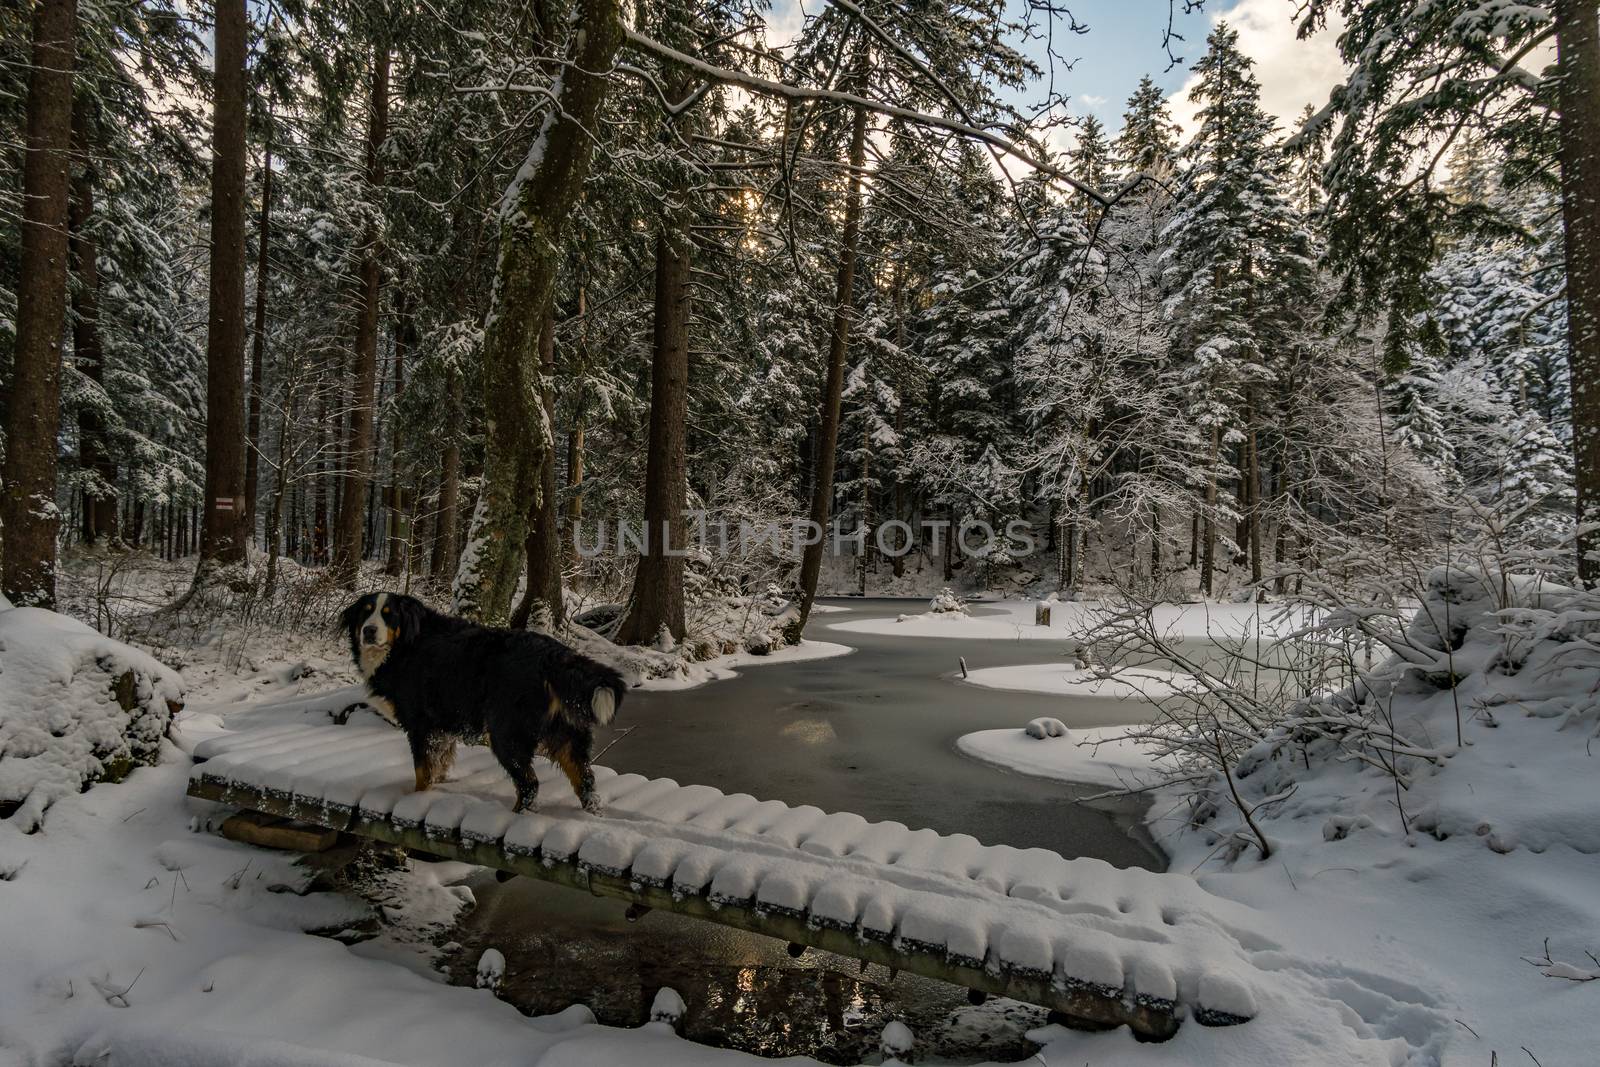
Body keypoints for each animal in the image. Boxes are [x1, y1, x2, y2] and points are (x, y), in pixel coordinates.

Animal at [340, 591, 627, 819]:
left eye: (388, 615)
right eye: (366, 613)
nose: (369, 631)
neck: (405, 646)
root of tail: (554, 654)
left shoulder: (421, 725)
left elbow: (422, 770)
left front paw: (417, 797)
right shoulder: (441, 728)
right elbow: (437, 766)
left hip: (506, 734)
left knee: (529, 784)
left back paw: (513, 815)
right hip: (567, 736)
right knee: (586, 783)